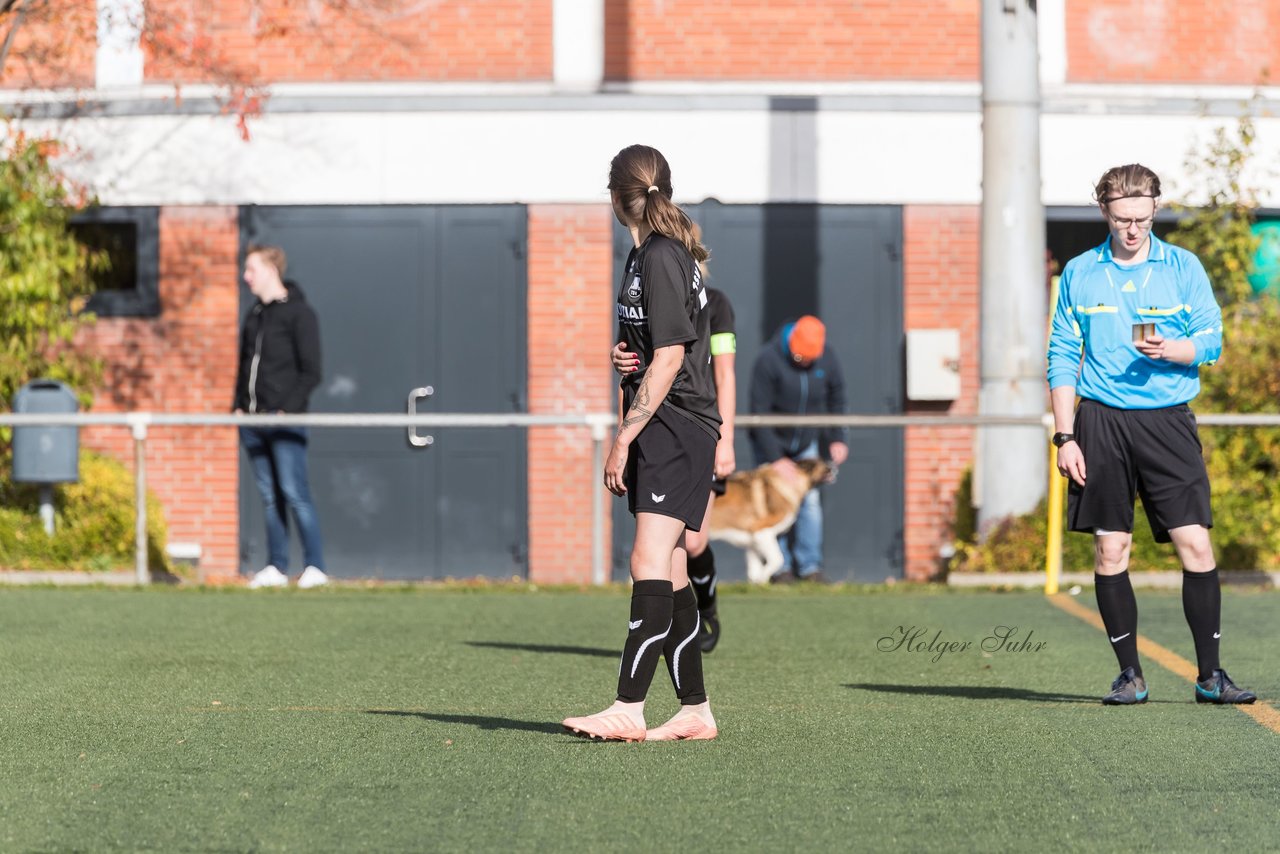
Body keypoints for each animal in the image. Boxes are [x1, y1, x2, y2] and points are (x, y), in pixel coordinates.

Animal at [706, 460, 834, 588]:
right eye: (823, 464)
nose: (832, 466)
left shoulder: (753, 542)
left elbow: (754, 570)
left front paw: (756, 584)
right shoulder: (762, 532)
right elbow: (778, 559)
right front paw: (763, 578)